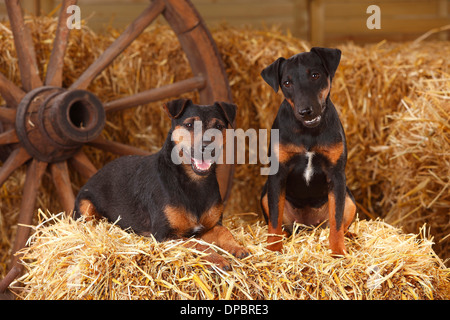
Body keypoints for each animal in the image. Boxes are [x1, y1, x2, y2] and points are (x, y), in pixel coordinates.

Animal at [74, 99, 250, 268]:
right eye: (189, 125)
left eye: (219, 126)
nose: (207, 148)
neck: (193, 181)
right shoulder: (166, 235)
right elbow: (198, 245)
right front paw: (218, 259)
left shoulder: (210, 227)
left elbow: (224, 232)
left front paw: (238, 248)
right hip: (85, 207)